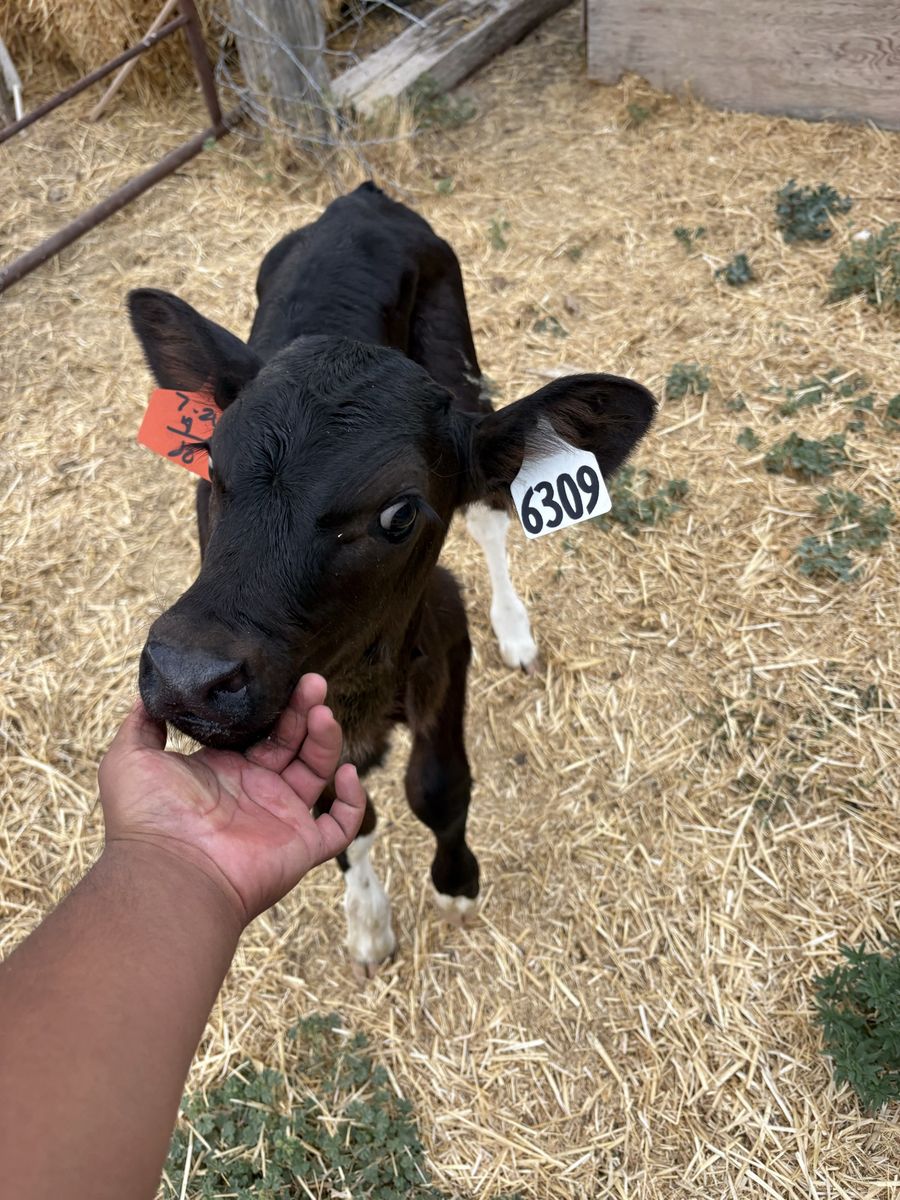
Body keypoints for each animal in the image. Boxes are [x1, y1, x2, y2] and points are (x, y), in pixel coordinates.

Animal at [128, 182, 655, 976]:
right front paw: (369, 921)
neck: (356, 689)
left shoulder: (444, 631)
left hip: (461, 365)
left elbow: (435, 788)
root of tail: (361, 197)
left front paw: (457, 884)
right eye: (212, 463)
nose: (188, 675)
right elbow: (345, 815)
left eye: (400, 511)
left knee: (492, 512)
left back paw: (516, 630)